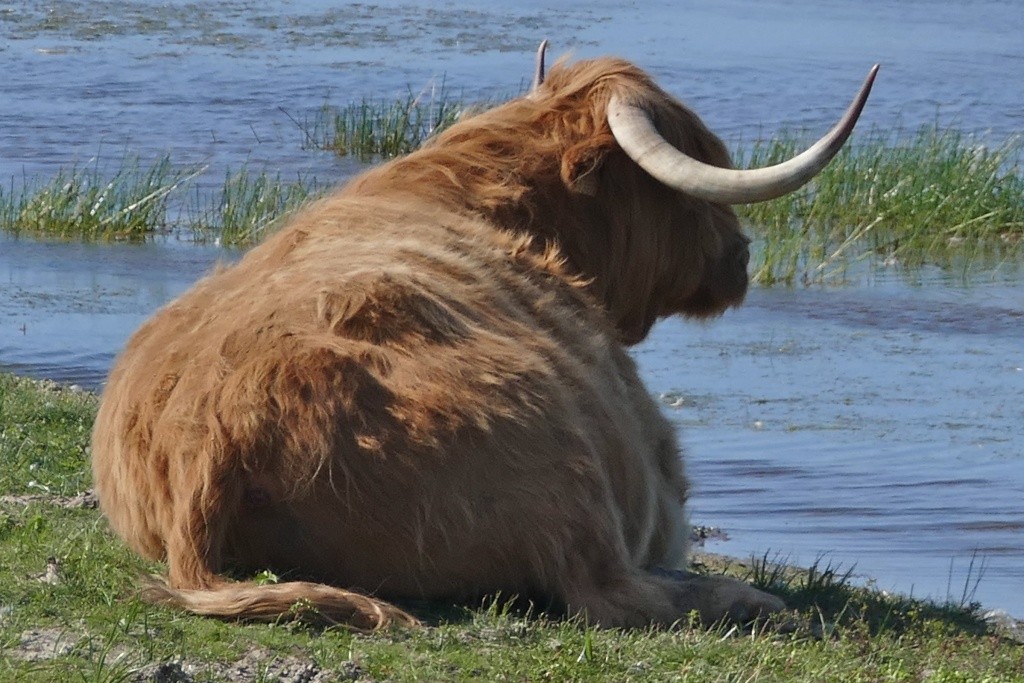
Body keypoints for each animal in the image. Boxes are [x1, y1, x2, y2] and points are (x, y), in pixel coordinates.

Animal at [92, 45, 876, 626]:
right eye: (694, 163)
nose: (738, 256)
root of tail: (214, 439)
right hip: (568, 480)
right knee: (610, 594)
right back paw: (758, 601)